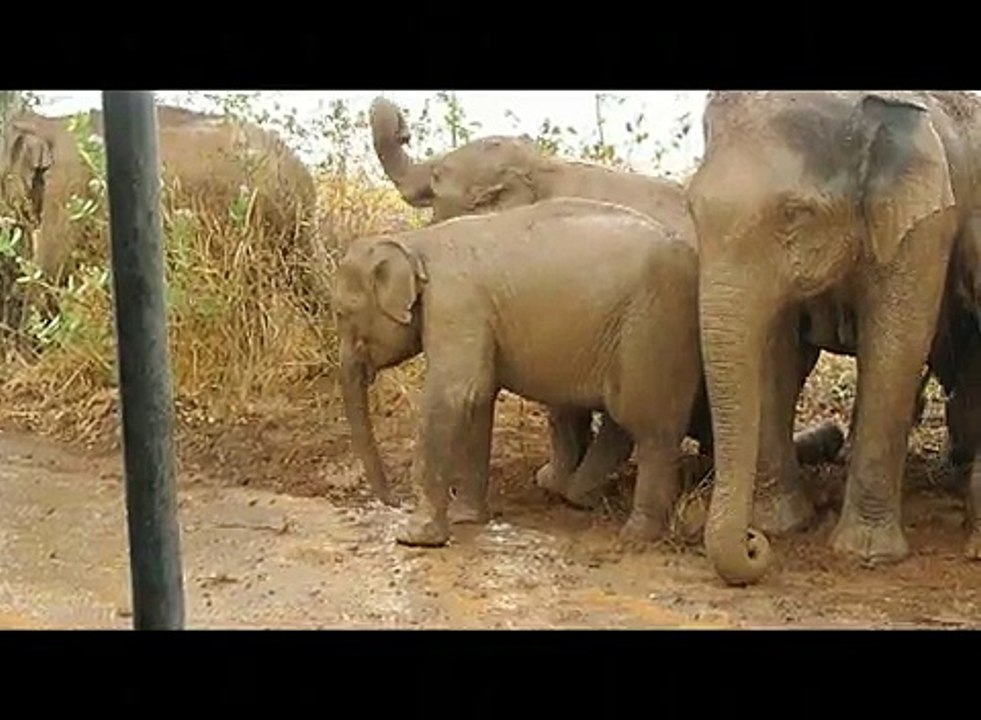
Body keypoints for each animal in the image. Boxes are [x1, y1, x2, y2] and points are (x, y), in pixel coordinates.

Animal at [336, 197, 709, 545]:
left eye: (342, 313)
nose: (392, 502)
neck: (414, 242)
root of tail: (692, 255)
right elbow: (478, 397)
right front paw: (465, 519)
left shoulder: (456, 303)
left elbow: (455, 393)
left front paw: (416, 538)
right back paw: (582, 498)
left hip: (654, 325)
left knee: (649, 426)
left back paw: (636, 533)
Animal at [686, 90, 981, 586]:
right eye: (692, 208)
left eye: (795, 214)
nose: (752, 543)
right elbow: (775, 352)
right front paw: (782, 524)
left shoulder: (923, 226)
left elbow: (895, 352)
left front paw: (865, 554)